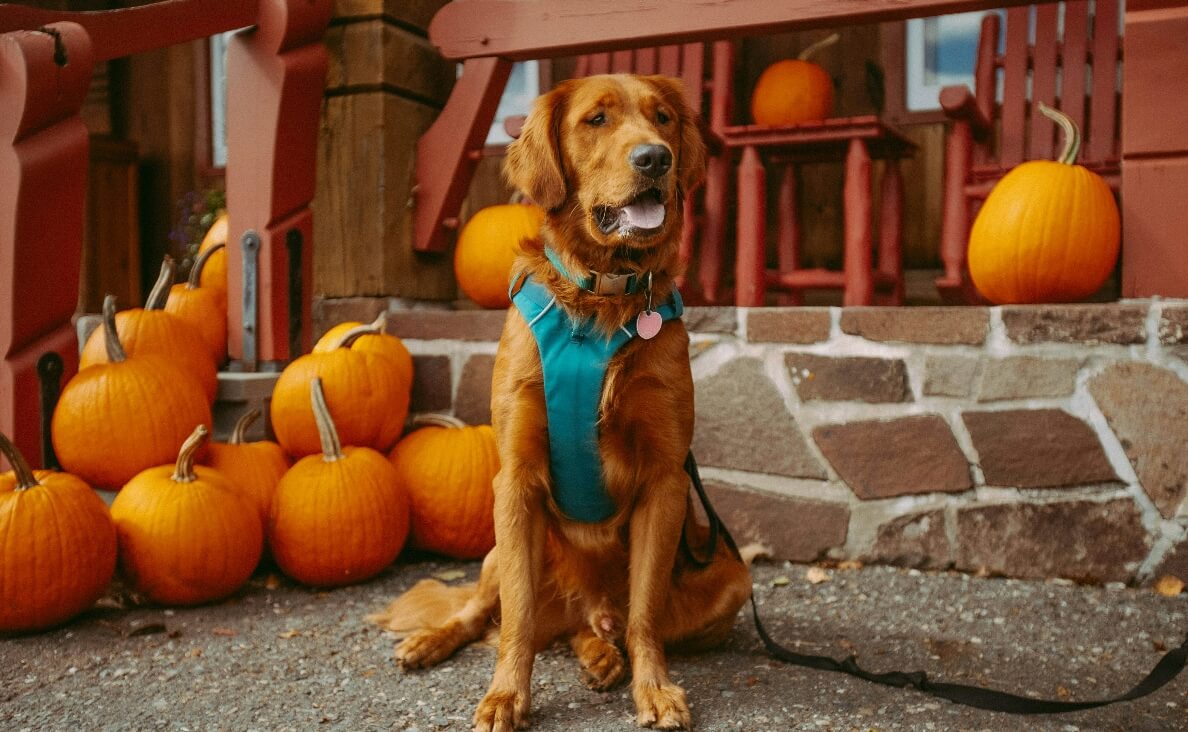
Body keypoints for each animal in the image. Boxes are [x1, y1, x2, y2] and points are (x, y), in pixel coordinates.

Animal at [380, 75, 750, 732]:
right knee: (482, 613)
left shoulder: (666, 481)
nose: (656, 158)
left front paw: (654, 690)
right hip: (497, 551)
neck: (601, 294)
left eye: (662, 118)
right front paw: (506, 696)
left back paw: (602, 654)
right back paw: (430, 643)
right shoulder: (515, 480)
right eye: (596, 119)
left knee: (604, 625)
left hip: (733, 576)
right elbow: (518, 619)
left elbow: (645, 615)